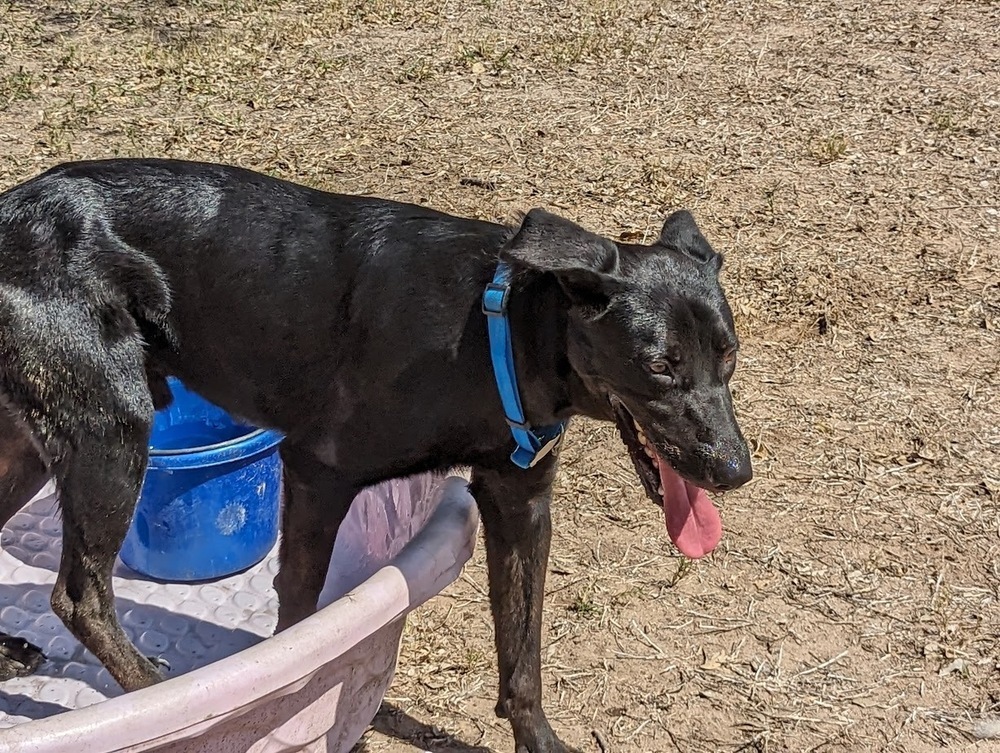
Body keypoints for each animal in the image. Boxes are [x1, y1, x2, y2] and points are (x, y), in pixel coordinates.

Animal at [0, 160, 752, 752]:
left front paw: (538, 739)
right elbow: (300, 624)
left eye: (729, 356)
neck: (493, 334)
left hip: (29, 447)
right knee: (79, 596)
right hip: (112, 431)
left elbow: (524, 651)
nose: (735, 470)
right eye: (659, 366)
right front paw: (286, 703)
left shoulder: (520, 503)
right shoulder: (318, 473)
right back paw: (155, 688)